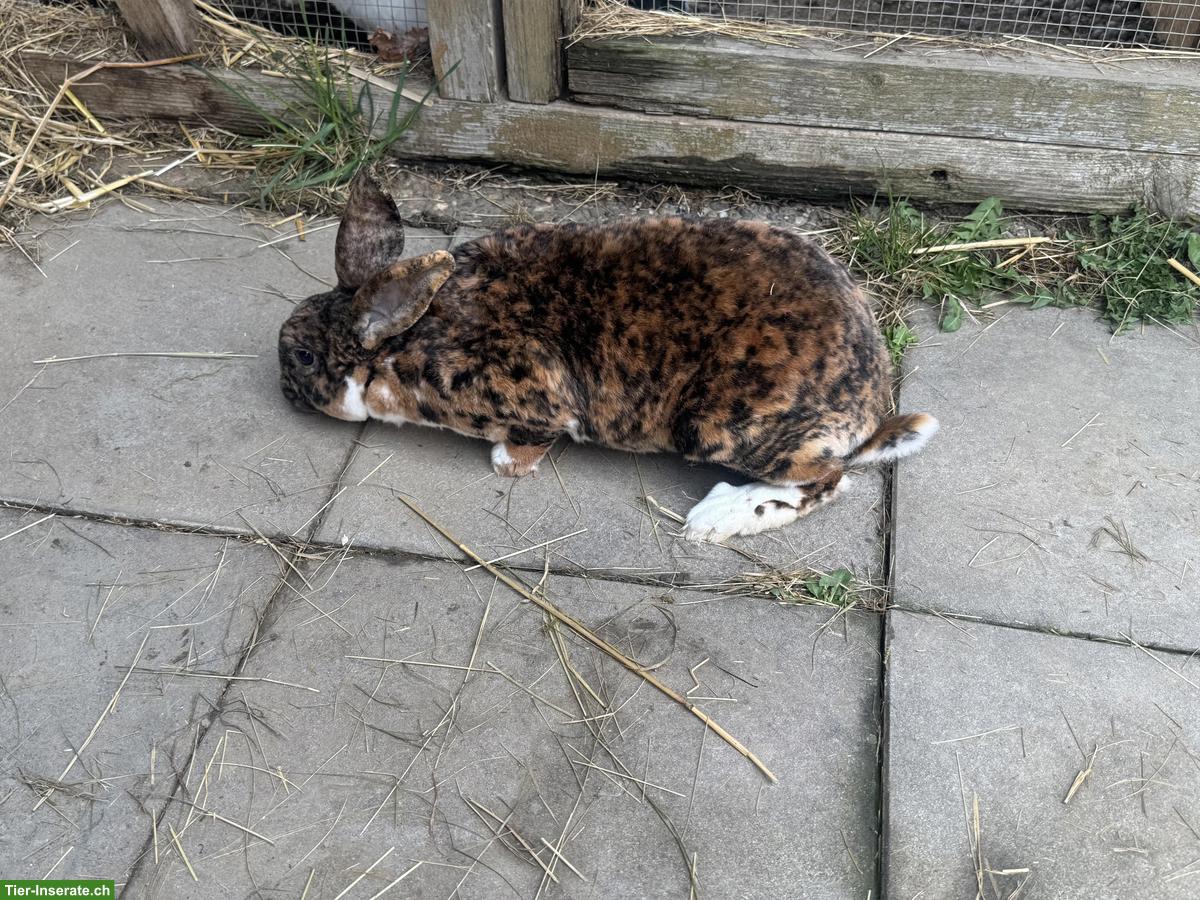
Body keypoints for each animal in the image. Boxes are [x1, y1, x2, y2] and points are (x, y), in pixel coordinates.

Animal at [278, 171, 938, 542]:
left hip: (720, 423)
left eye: (304, 357)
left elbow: (534, 436)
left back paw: (715, 519)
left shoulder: (531, 395)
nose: (282, 387)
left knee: (826, 479)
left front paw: (507, 464)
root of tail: (870, 409)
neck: (408, 338)